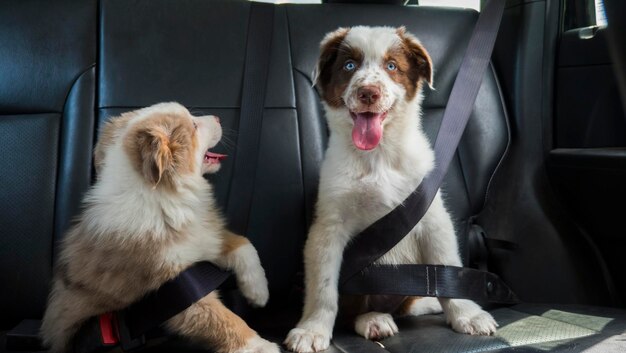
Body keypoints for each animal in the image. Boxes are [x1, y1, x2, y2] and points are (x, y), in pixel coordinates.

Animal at [41, 102, 278, 352]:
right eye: (193, 125)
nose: (218, 117)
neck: (163, 195)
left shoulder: (205, 237)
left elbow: (244, 245)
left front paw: (259, 292)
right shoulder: (174, 292)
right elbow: (223, 320)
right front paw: (261, 346)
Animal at [286, 26, 494, 350]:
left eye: (392, 66)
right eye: (349, 65)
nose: (368, 93)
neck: (378, 155)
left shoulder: (432, 216)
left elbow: (447, 267)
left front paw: (467, 315)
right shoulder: (328, 226)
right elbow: (323, 287)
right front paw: (312, 329)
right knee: (355, 311)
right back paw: (374, 320)